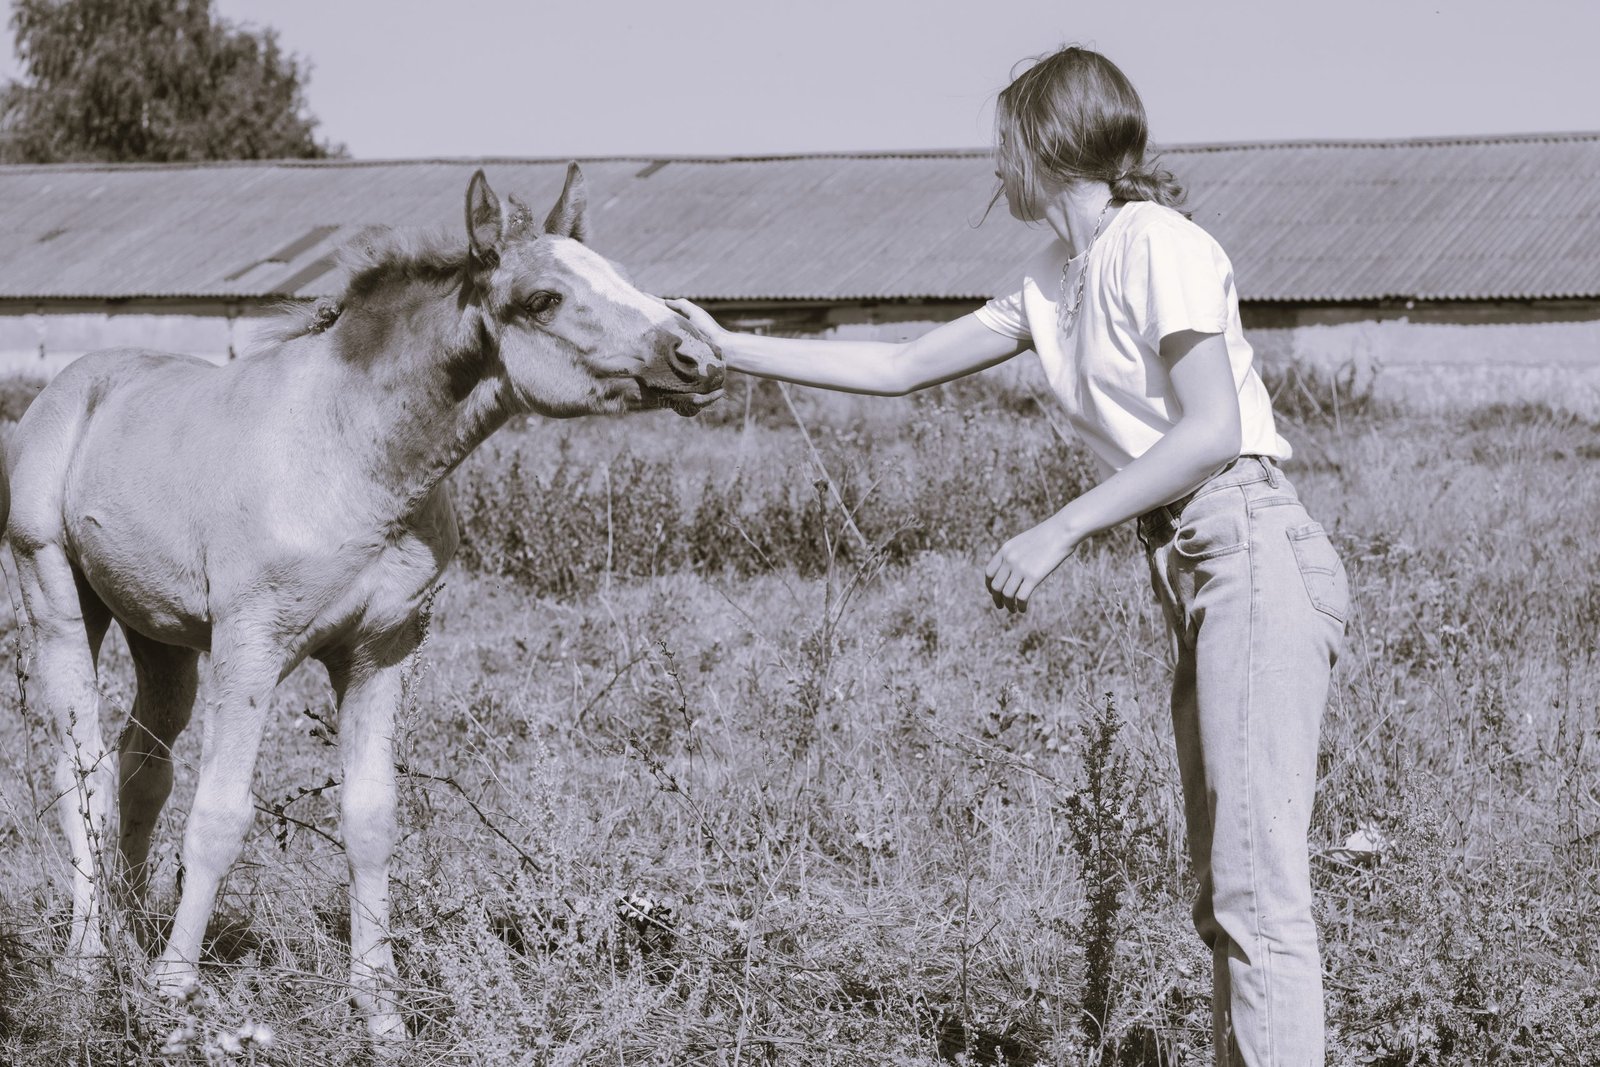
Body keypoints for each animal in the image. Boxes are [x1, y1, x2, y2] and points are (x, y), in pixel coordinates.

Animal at [4, 164, 723, 1038]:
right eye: (543, 298)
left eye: (618, 272)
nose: (698, 356)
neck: (350, 453)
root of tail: (71, 385)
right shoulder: (252, 645)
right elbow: (220, 812)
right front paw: (175, 990)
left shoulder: (382, 649)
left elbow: (371, 819)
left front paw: (379, 1004)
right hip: (58, 602)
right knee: (82, 769)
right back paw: (88, 958)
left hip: (163, 636)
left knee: (142, 767)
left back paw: (133, 925)